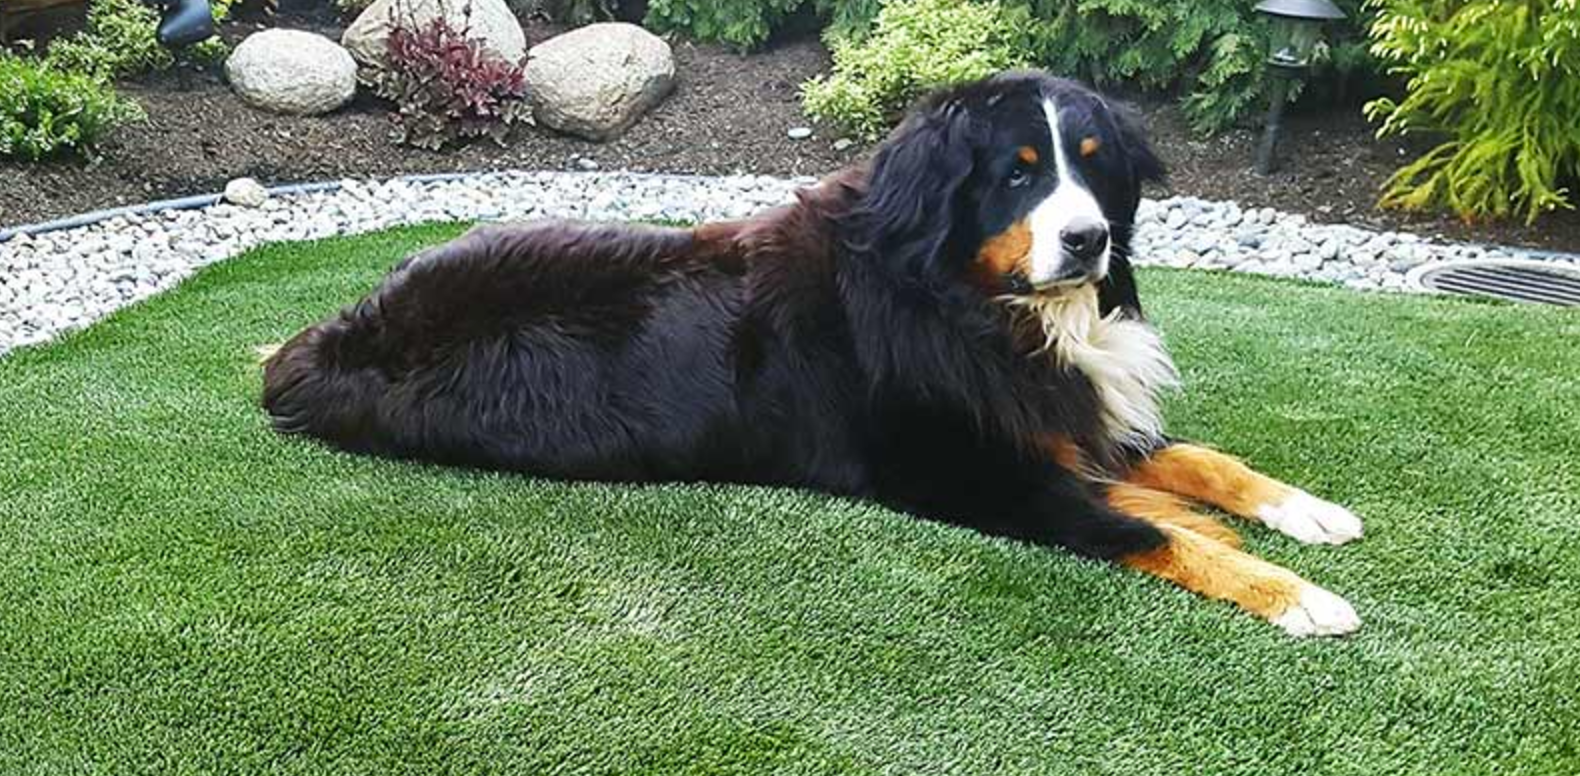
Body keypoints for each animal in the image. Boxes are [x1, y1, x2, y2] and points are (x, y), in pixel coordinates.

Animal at [265, 71, 1365, 638]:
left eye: (1093, 169)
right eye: (1015, 174)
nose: (1088, 239)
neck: (961, 301)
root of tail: (330, 339)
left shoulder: (1058, 408)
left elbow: (1197, 460)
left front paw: (1304, 510)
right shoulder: (977, 473)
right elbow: (1152, 529)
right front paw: (1296, 594)